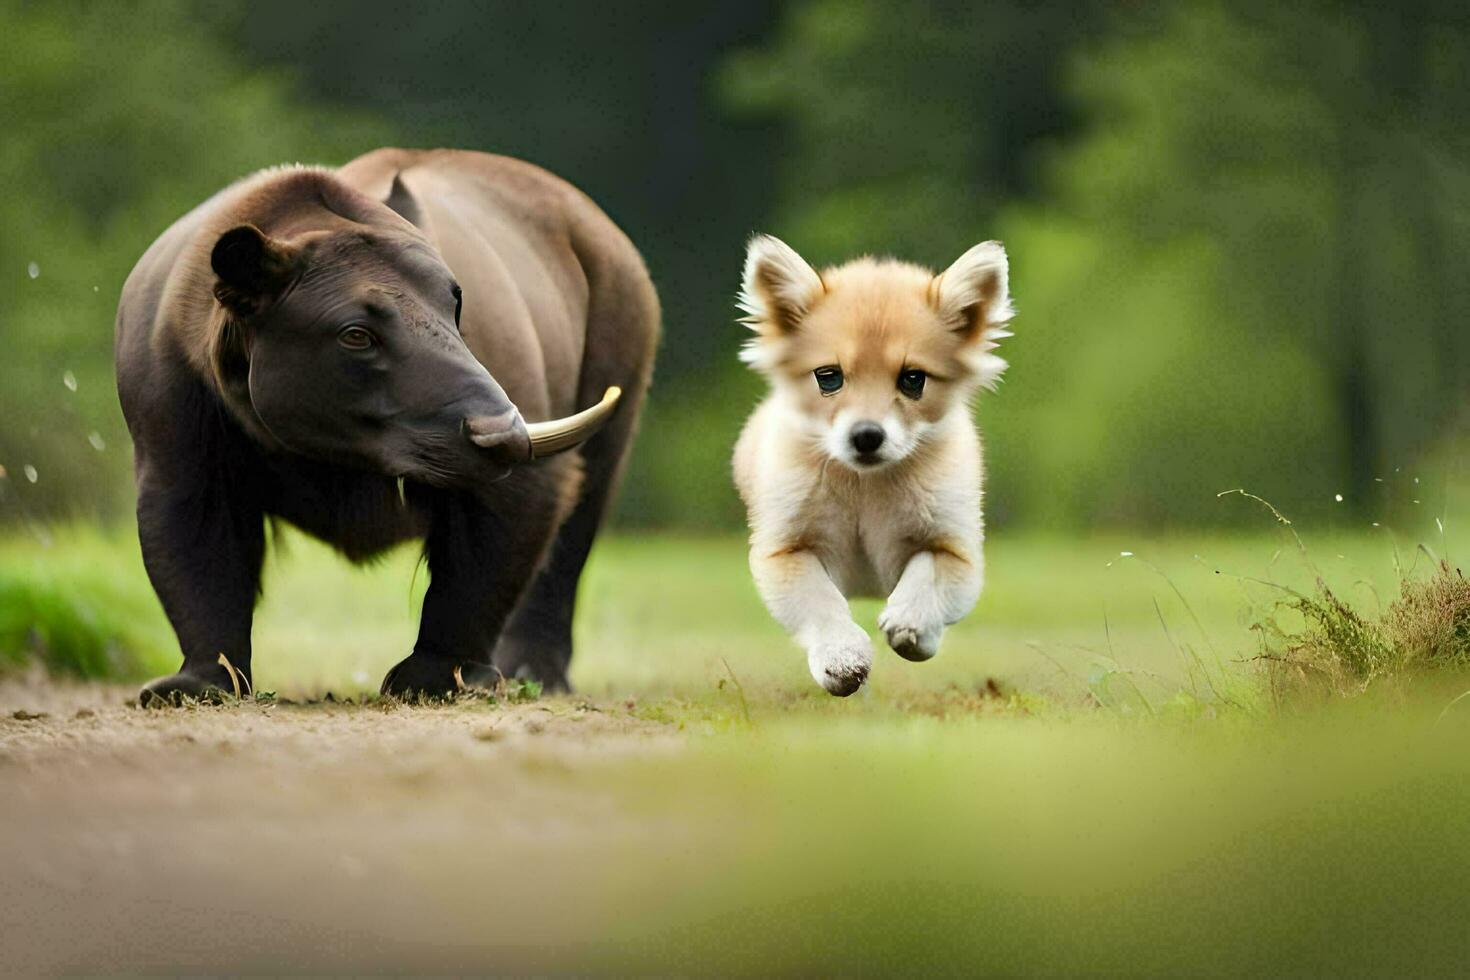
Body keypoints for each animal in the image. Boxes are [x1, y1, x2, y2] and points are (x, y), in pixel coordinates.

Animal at [732, 238, 1017, 696]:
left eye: (913, 379)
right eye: (828, 377)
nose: (867, 436)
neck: (864, 485)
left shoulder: (957, 551)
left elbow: (928, 573)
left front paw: (911, 623)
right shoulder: (786, 550)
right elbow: (820, 600)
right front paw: (842, 657)